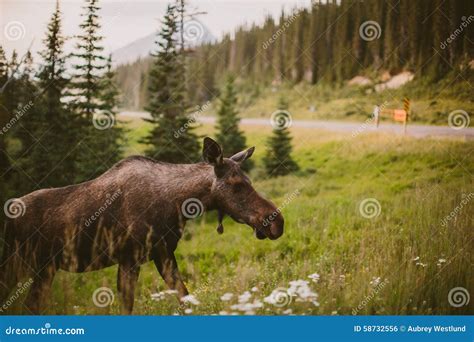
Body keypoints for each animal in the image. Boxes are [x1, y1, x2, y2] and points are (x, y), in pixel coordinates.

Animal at [0, 138, 284, 314]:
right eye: (237, 185)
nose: (276, 221)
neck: (178, 205)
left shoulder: (163, 254)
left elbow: (185, 297)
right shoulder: (129, 259)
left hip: (42, 269)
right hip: (19, 263)